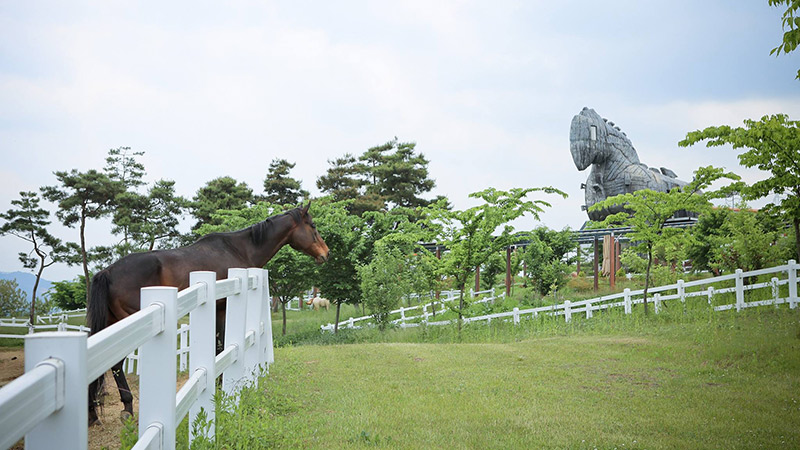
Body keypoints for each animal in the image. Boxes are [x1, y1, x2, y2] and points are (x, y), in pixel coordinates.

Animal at [86, 204, 326, 426]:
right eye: (313, 225)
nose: (326, 253)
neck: (239, 249)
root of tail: (108, 272)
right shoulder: (225, 306)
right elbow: (221, 347)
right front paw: (220, 389)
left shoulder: (218, 309)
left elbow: (219, 348)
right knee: (116, 365)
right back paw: (125, 408)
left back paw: (96, 414)